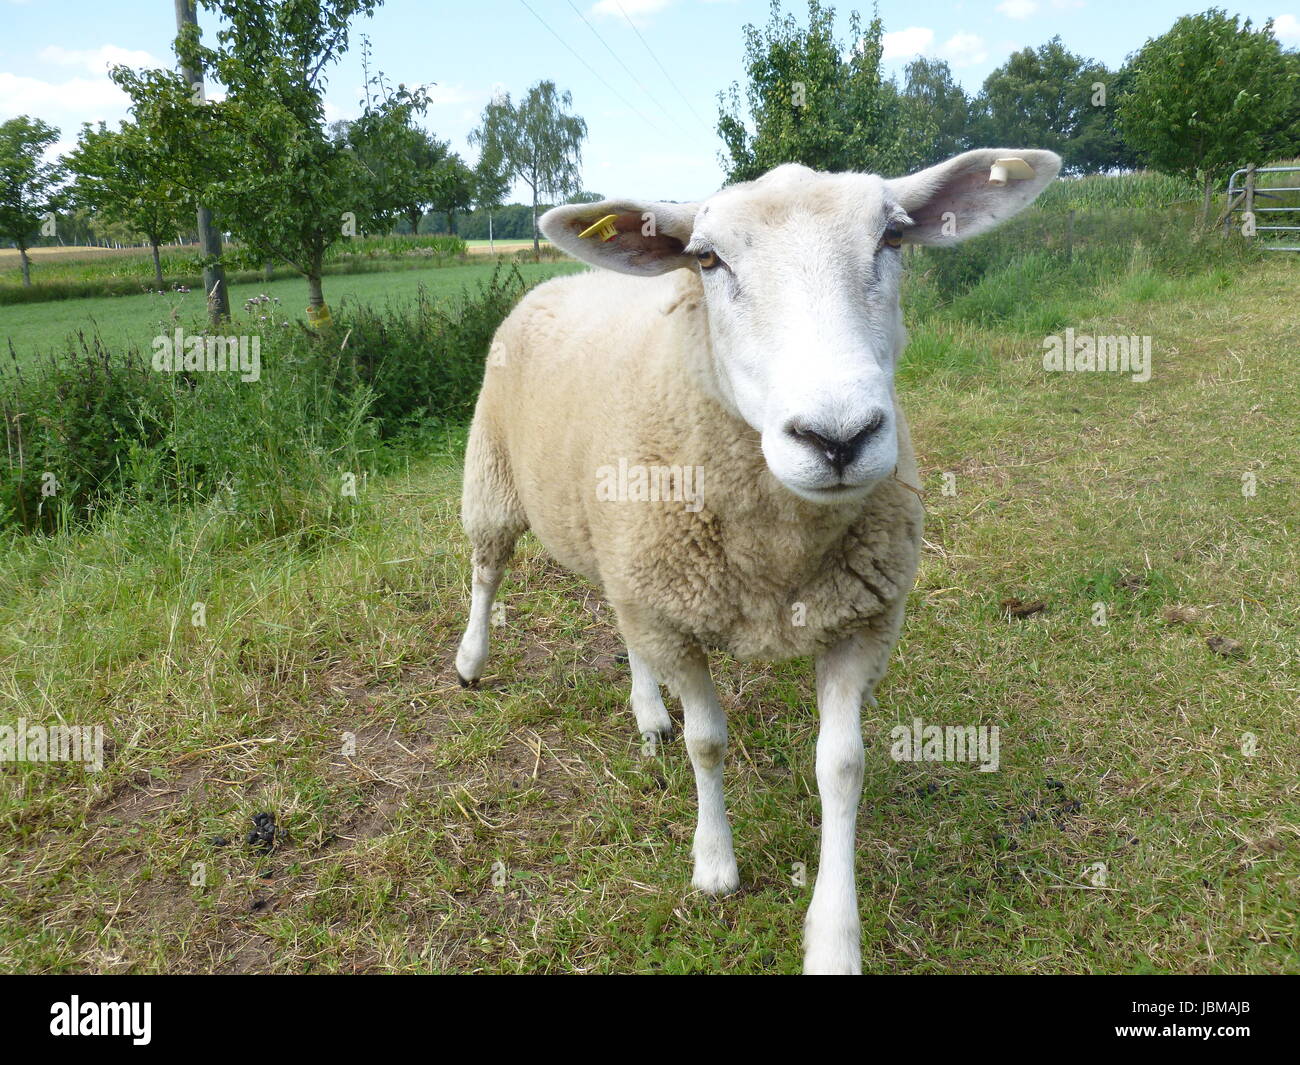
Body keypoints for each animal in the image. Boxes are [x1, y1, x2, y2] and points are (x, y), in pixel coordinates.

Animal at [452, 147, 1060, 972]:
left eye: (893, 238)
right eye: (707, 259)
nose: (838, 437)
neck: (778, 555)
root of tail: (561, 279)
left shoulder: (859, 621)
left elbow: (842, 766)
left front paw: (834, 937)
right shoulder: (675, 615)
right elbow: (708, 741)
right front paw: (715, 863)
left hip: (622, 554)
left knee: (619, 621)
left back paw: (647, 708)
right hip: (494, 477)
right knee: (486, 570)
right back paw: (472, 659)